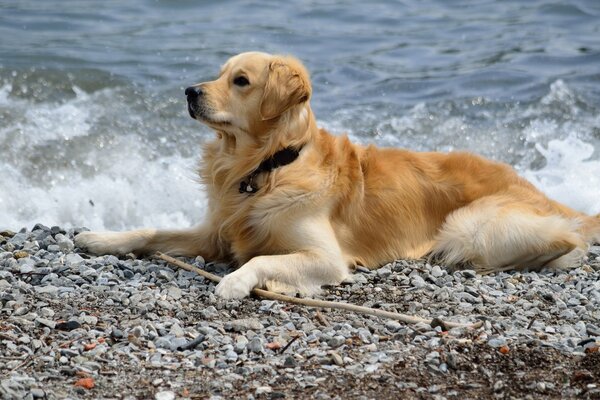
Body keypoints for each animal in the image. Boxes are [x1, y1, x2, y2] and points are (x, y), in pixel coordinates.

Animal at [74, 51, 600, 298]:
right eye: (219, 73)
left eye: (240, 81)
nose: (189, 91)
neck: (268, 165)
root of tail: (538, 190)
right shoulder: (215, 231)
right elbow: (150, 231)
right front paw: (99, 238)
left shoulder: (326, 258)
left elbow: (260, 259)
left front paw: (236, 283)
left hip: (470, 227)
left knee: (567, 241)